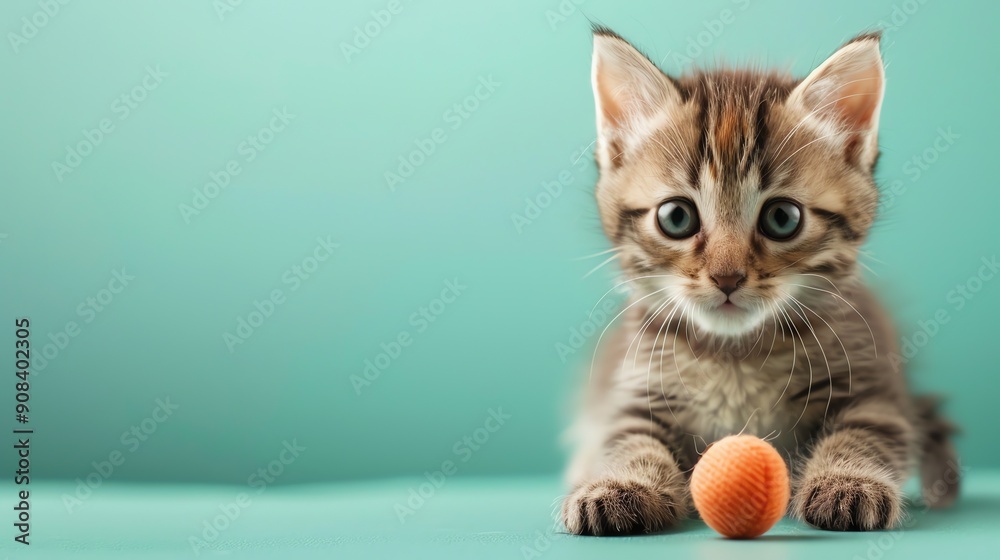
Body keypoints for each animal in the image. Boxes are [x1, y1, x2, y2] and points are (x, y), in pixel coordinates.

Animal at [564, 28, 960, 536]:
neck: (736, 357)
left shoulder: (873, 390)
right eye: (676, 218)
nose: (727, 277)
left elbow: (864, 433)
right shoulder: (635, 393)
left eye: (782, 218)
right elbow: (629, 439)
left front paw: (848, 483)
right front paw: (621, 485)